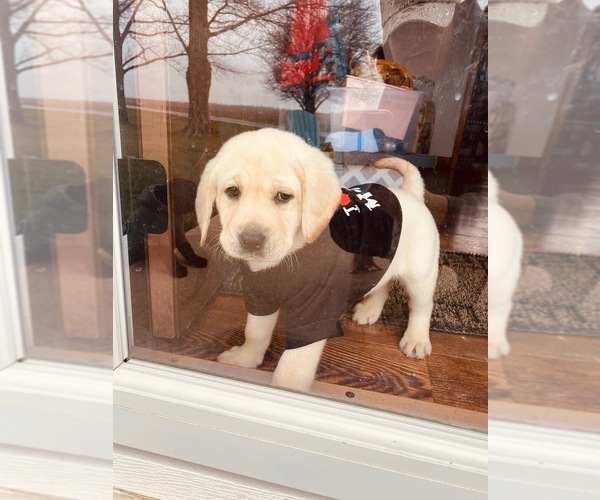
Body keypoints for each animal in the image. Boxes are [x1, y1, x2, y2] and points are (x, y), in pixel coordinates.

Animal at [197, 128, 440, 390]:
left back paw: (416, 339)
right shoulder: (261, 295)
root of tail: (411, 195)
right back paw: (369, 311)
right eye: (232, 192)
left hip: (420, 275)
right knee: (382, 284)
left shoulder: (315, 313)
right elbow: (255, 332)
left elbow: (291, 369)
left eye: (284, 196)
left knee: (422, 306)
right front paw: (246, 358)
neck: (287, 258)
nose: (251, 240)